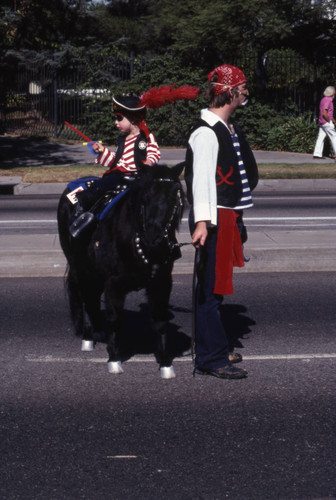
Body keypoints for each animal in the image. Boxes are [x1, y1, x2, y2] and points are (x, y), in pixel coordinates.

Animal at [57, 164, 184, 378]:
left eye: (174, 197)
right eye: (145, 197)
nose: (155, 238)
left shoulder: (161, 282)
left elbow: (160, 321)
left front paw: (166, 364)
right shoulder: (114, 283)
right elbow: (115, 319)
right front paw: (114, 360)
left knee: (92, 298)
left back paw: (97, 330)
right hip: (81, 267)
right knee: (87, 296)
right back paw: (89, 338)